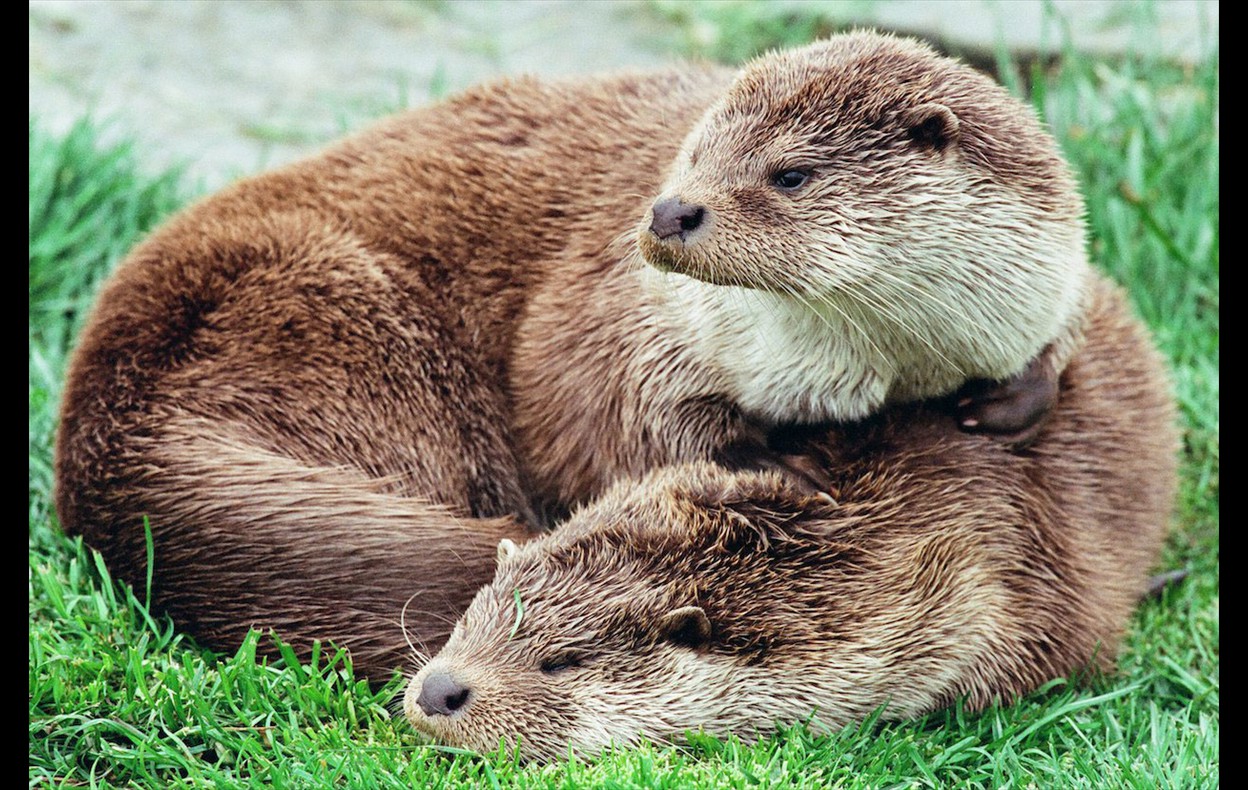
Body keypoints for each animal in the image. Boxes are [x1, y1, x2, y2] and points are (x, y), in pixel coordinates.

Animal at [57, 32, 1093, 682]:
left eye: (790, 172)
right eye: (689, 154)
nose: (671, 211)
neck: (867, 369)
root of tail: (101, 432)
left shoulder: (1041, 282)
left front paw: (1011, 399)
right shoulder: (616, 322)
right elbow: (605, 425)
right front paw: (781, 466)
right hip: (337, 322)